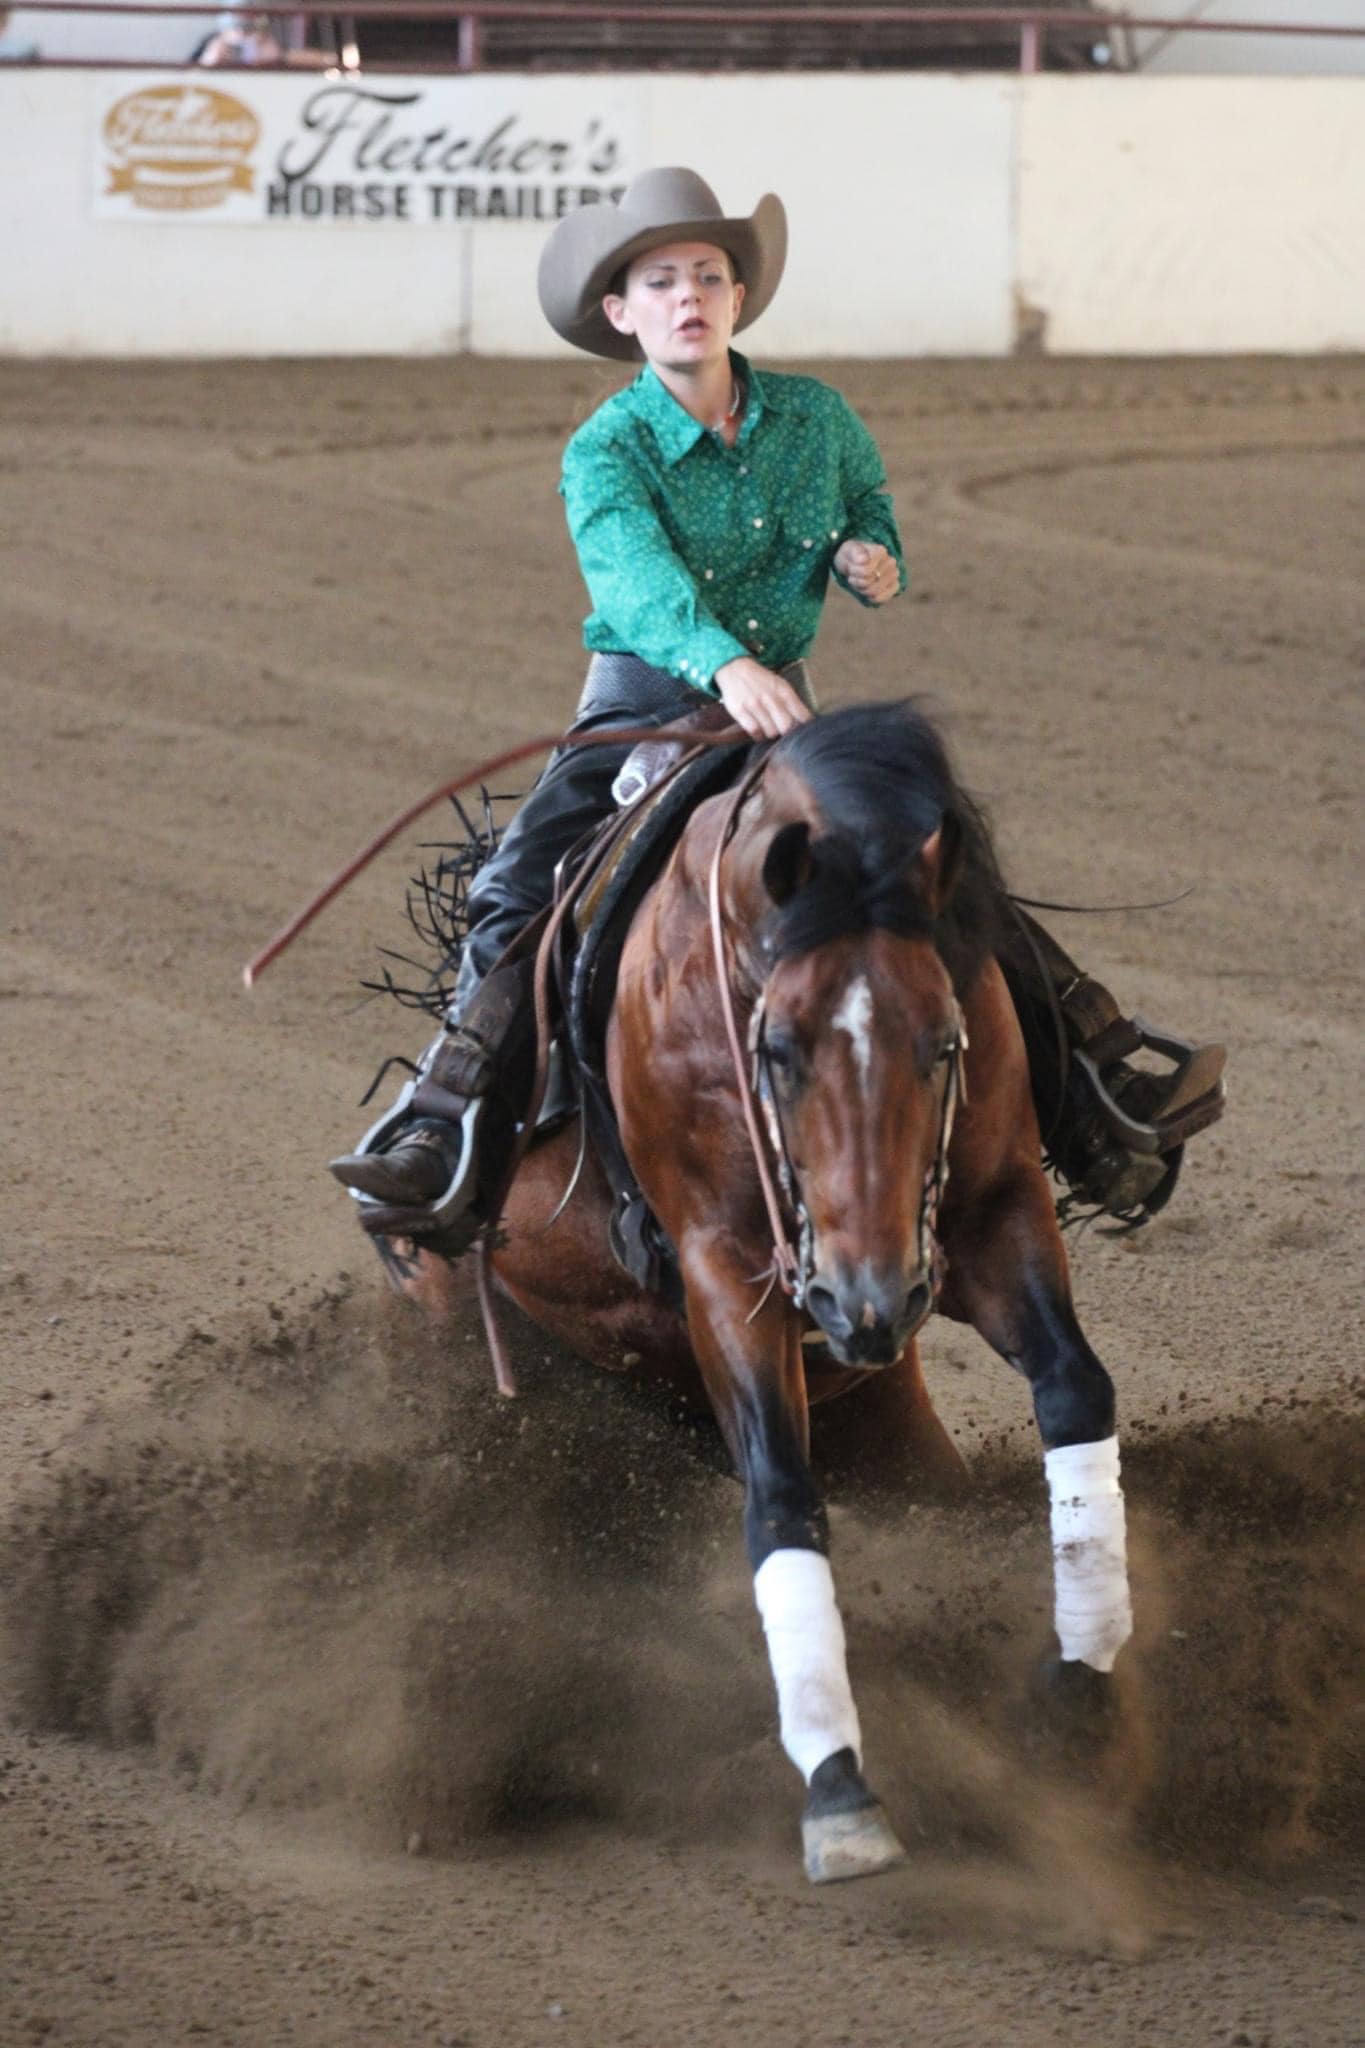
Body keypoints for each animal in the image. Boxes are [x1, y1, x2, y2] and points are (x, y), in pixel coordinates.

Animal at [388, 701, 1134, 1884]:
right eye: (776, 1048)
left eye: (944, 1040)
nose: (871, 1301)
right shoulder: (723, 1267)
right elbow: (782, 1492)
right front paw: (838, 1786)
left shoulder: (994, 1211)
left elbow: (1075, 1391)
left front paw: (1080, 1696)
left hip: (889, 1421)